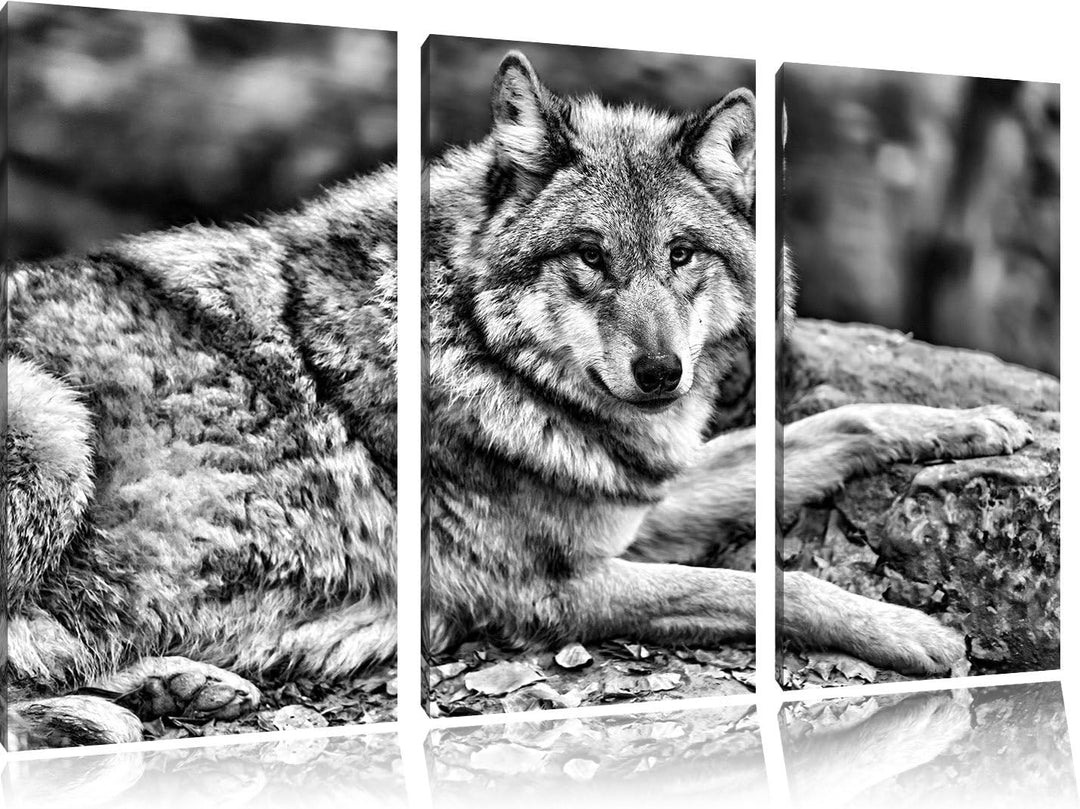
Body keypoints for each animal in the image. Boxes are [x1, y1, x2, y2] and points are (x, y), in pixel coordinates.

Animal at [423, 52, 1032, 688]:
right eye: (590, 256)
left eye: (681, 254)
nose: (661, 371)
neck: (480, 350)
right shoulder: (549, 592)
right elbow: (776, 586)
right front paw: (910, 631)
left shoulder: (637, 505)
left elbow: (839, 423)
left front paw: (972, 421)